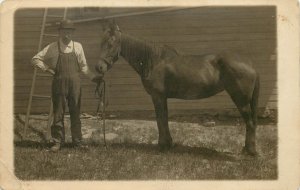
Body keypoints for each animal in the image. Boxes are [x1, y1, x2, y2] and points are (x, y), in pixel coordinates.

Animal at [96, 21, 260, 157]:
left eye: (111, 43)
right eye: (101, 42)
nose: (99, 67)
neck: (154, 60)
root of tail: (251, 64)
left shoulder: (157, 96)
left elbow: (160, 119)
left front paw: (162, 146)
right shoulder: (163, 97)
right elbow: (164, 118)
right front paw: (169, 144)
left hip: (241, 99)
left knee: (250, 122)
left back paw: (250, 151)